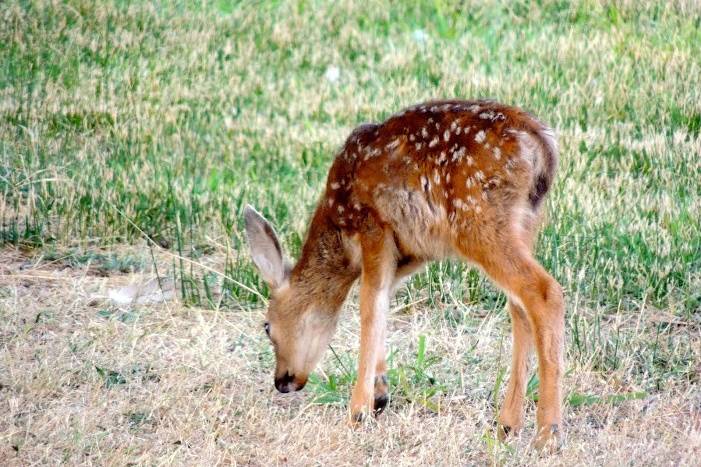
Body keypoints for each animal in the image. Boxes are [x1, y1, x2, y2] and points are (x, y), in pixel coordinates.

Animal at [245, 99, 564, 450]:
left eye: (266, 327)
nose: (282, 381)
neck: (338, 227)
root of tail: (541, 143)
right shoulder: (411, 251)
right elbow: (383, 298)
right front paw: (379, 394)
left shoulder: (373, 225)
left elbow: (369, 306)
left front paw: (358, 412)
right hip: (524, 223)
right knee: (519, 307)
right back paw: (508, 424)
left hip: (477, 220)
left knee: (543, 291)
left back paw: (547, 433)